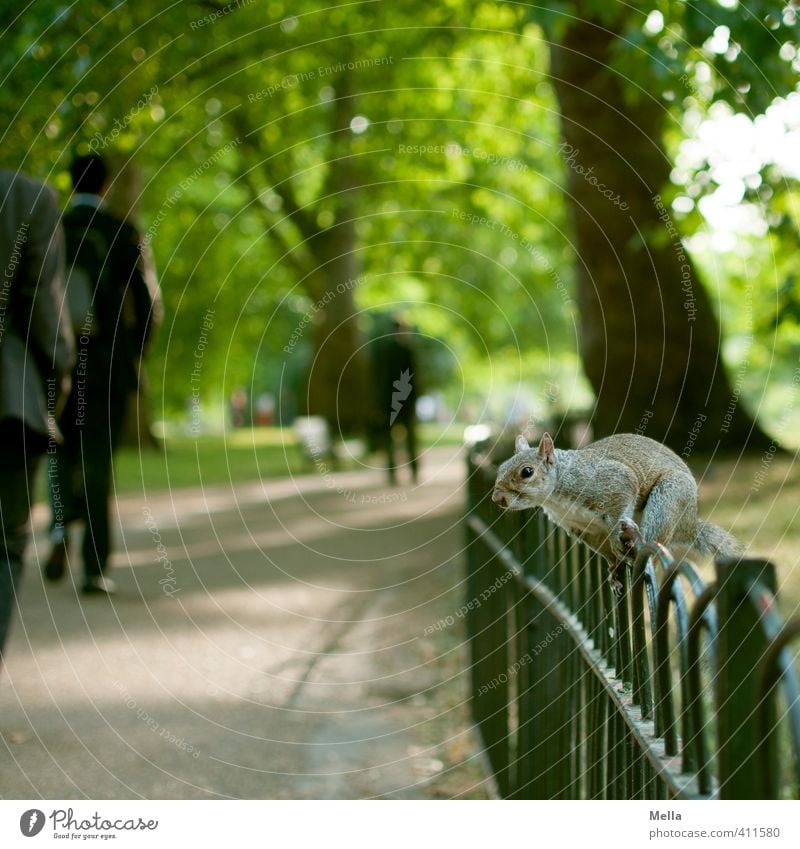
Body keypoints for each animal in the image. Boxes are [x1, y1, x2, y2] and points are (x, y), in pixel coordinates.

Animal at [490, 434, 748, 568]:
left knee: (654, 548)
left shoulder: (614, 483)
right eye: (501, 467)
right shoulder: (581, 528)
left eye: (527, 472)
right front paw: (614, 571)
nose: (497, 498)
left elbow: (618, 511)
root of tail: (689, 525)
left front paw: (616, 537)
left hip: (668, 498)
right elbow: (601, 548)